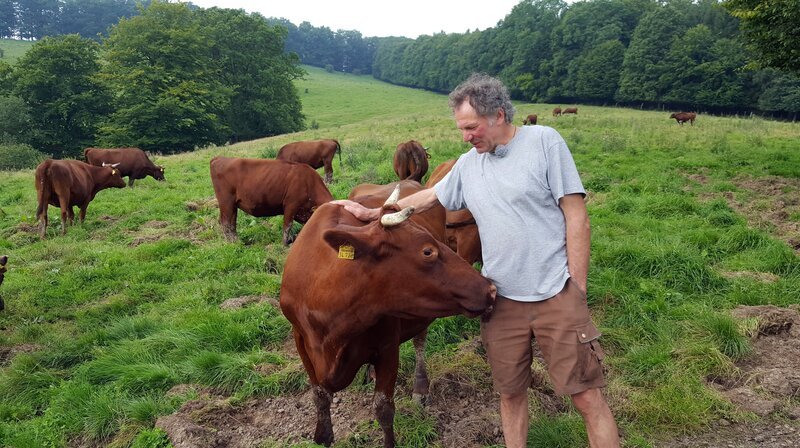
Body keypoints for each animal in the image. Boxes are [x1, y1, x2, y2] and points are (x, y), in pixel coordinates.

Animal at [280, 187, 496, 448]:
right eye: (427, 251)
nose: (491, 289)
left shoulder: (387, 347)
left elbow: (383, 409)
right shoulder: (301, 341)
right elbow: (320, 396)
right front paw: (322, 436)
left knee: (420, 341)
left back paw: (420, 387)